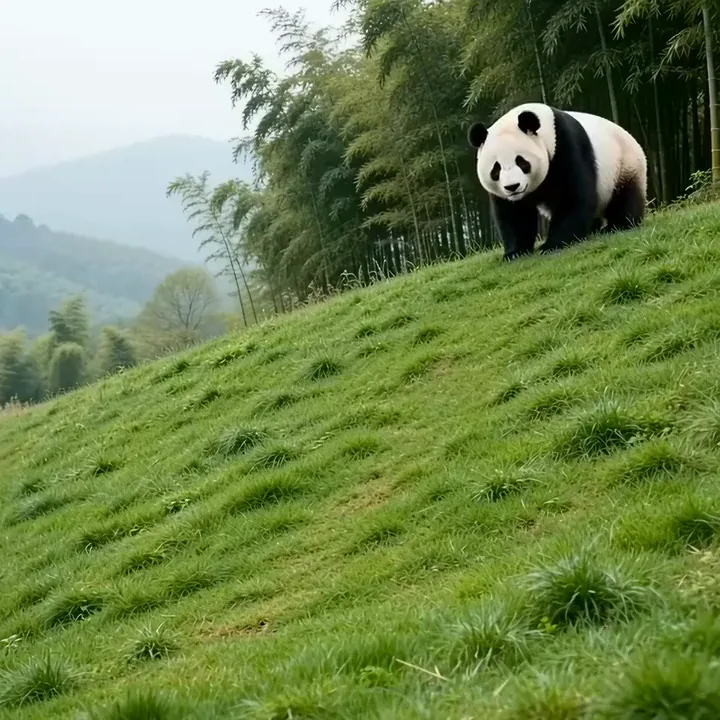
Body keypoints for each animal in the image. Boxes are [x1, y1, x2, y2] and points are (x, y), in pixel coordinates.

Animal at [467, 102, 647, 261]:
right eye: (496, 169)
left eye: (521, 161)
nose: (512, 187)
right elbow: (515, 214)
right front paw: (515, 252)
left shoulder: (565, 146)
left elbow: (572, 197)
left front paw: (552, 245)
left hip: (624, 165)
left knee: (624, 198)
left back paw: (617, 225)